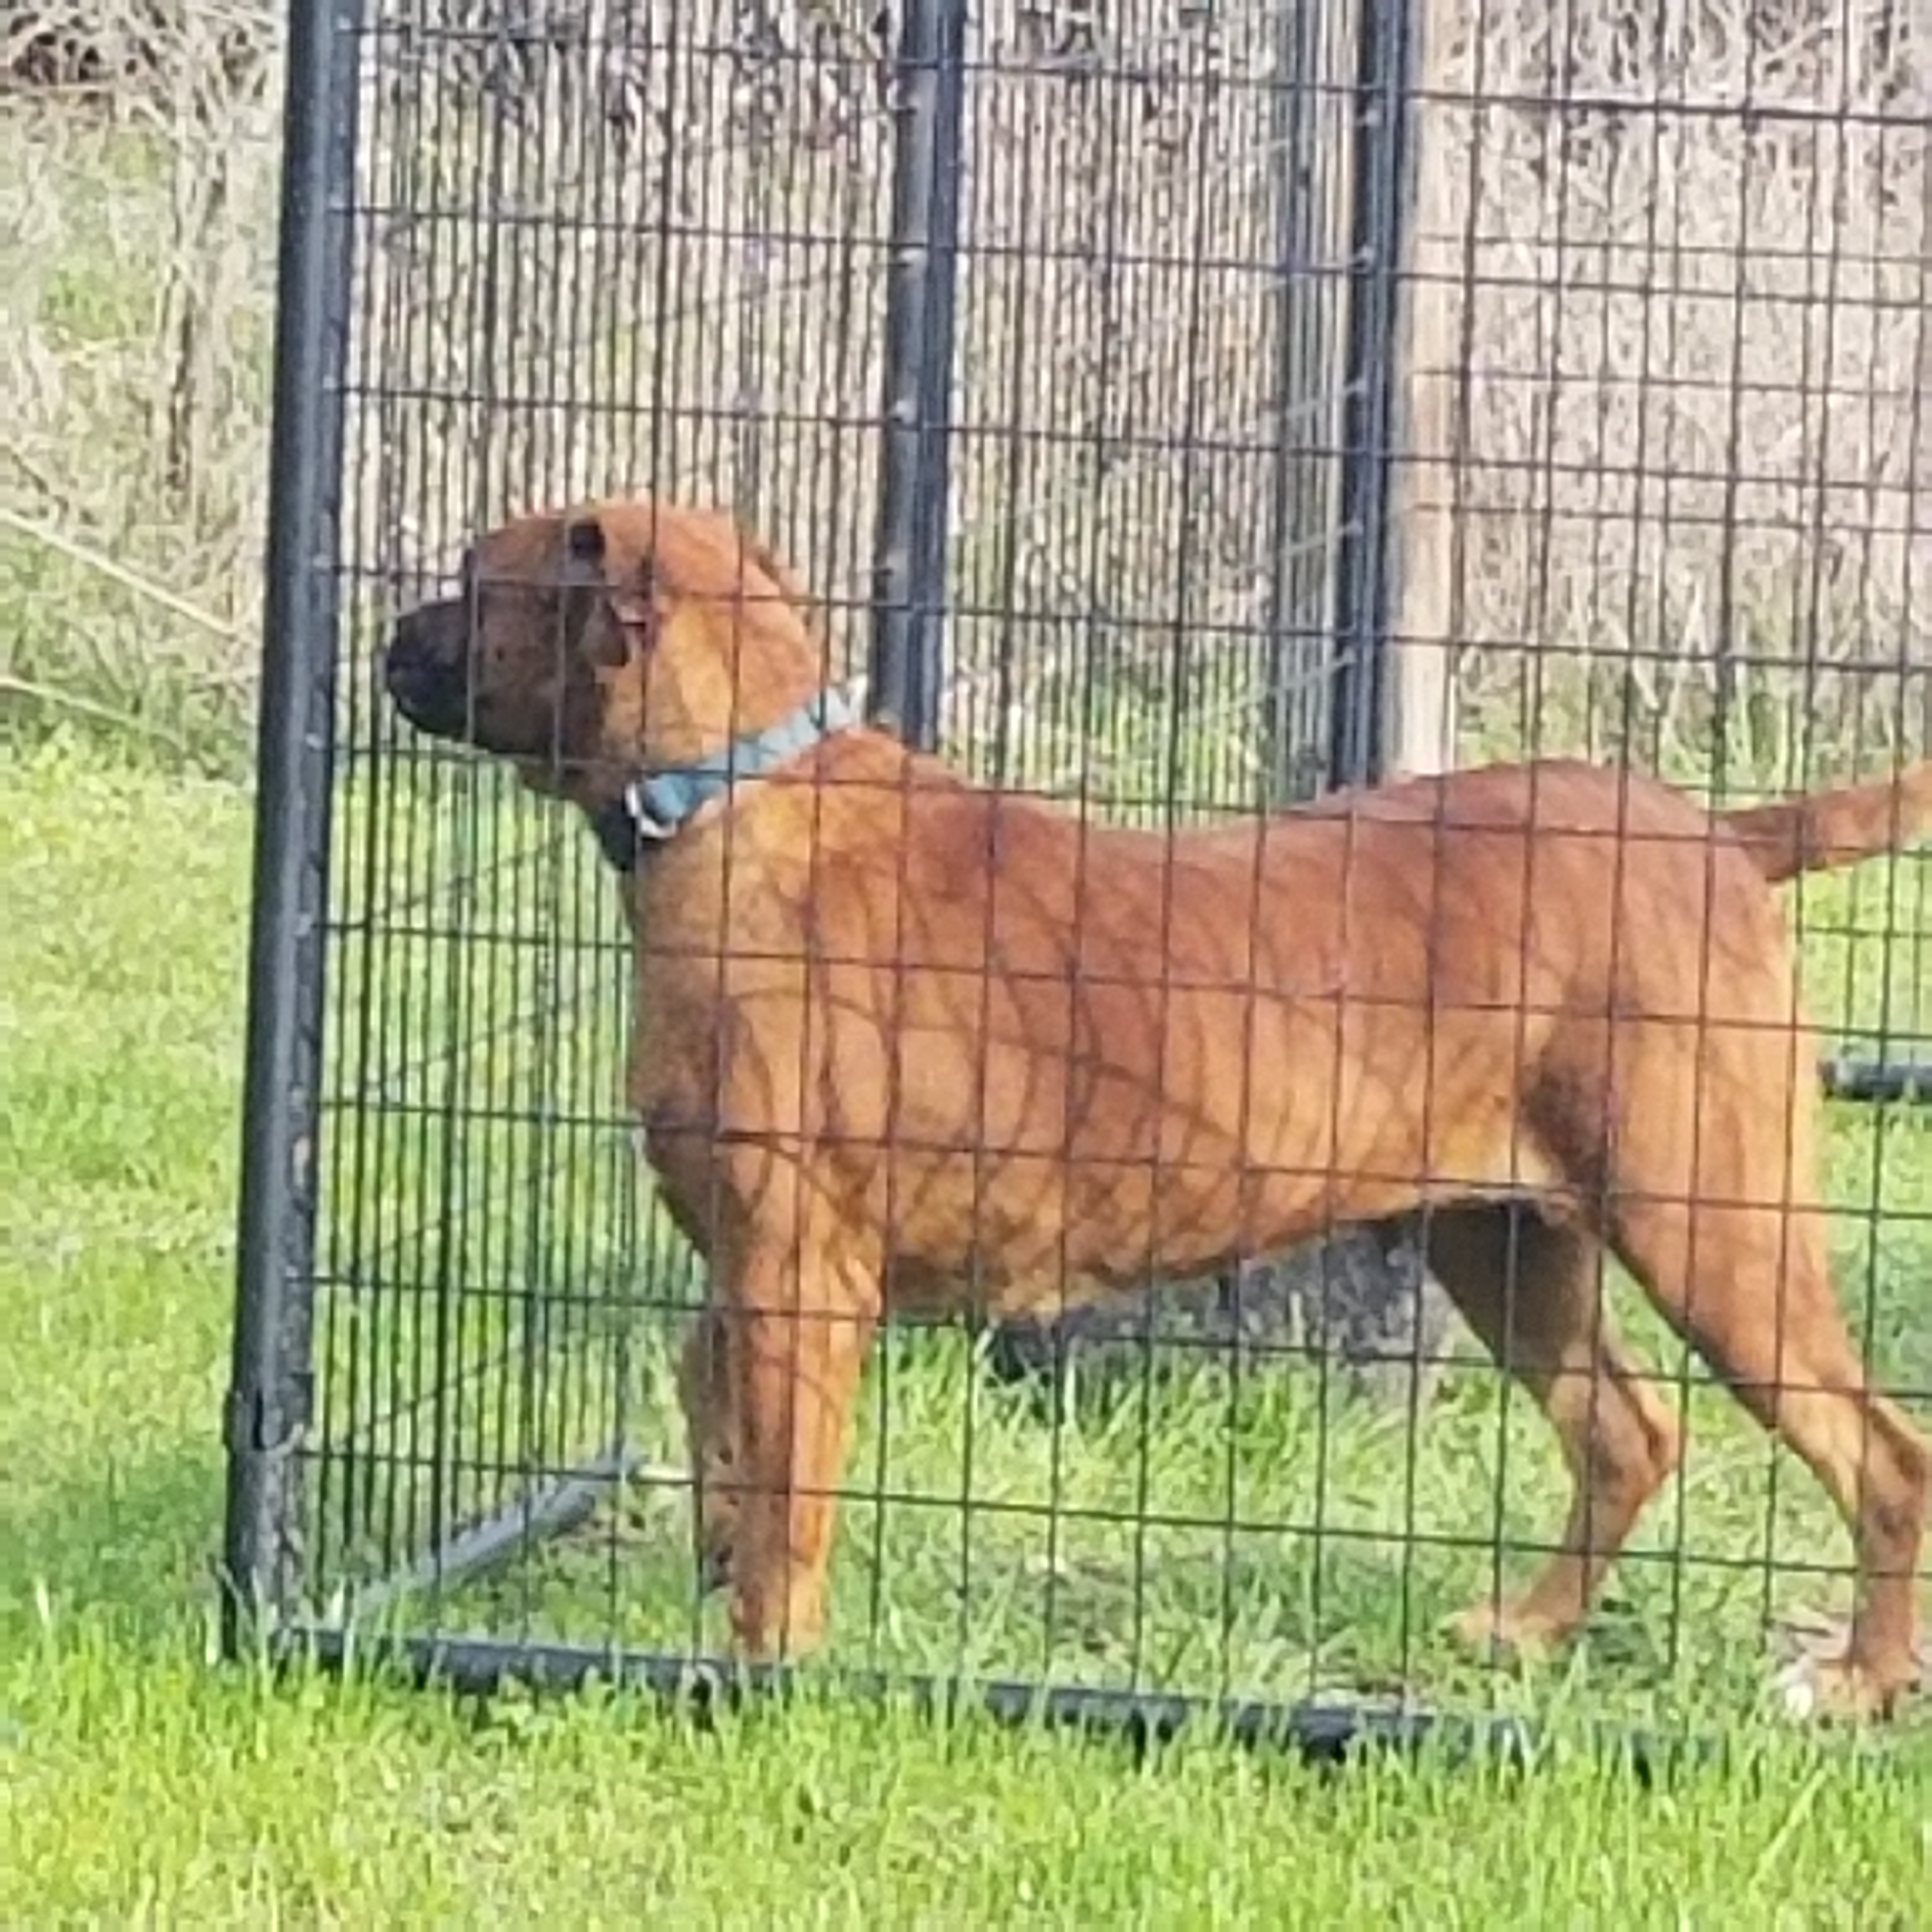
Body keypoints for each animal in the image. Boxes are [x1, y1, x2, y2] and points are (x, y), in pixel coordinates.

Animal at [380, 491, 1932, 1715]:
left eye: (477, 573)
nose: (388, 638)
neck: (730, 797)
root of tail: (1712, 833)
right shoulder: (741, 1273)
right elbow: (713, 1430)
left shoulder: (797, 1280)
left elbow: (781, 1505)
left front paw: (762, 1668)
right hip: (1506, 1244)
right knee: (1627, 1432)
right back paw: (1530, 1631)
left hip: (1709, 1231)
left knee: (1882, 1453)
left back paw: (1854, 1682)